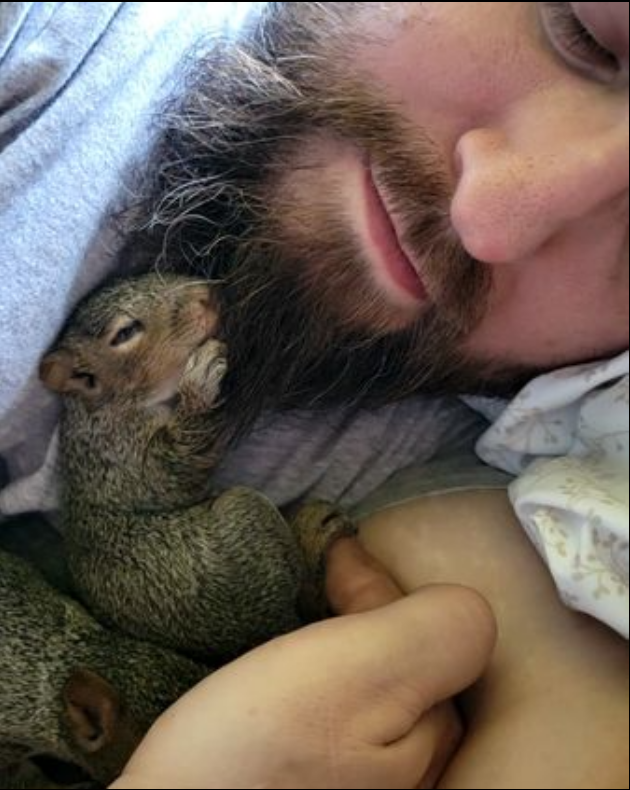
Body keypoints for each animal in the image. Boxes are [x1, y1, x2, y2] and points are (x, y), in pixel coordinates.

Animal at [40, 273, 355, 662]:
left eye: (149, 274)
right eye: (125, 333)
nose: (209, 294)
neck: (112, 405)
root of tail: (265, 632)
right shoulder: (121, 458)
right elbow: (174, 468)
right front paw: (200, 385)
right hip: (246, 516)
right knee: (307, 599)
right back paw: (315, 534)